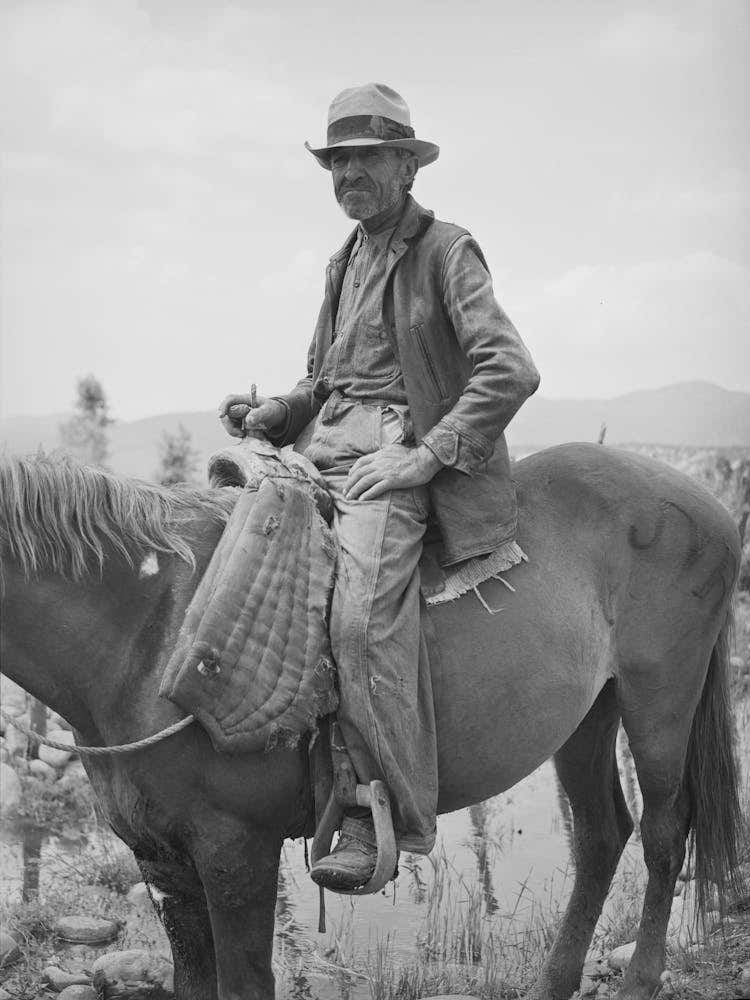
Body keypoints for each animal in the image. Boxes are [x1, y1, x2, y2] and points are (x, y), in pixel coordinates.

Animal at [0, 443, 744, 1000]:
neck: (149, 631)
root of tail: (706, 503)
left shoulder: (235, 852)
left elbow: (243, 984)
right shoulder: (163, 861)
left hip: (659, 701)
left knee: (664, 832)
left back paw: (641, 981)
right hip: (588, 718)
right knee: (599, 836)